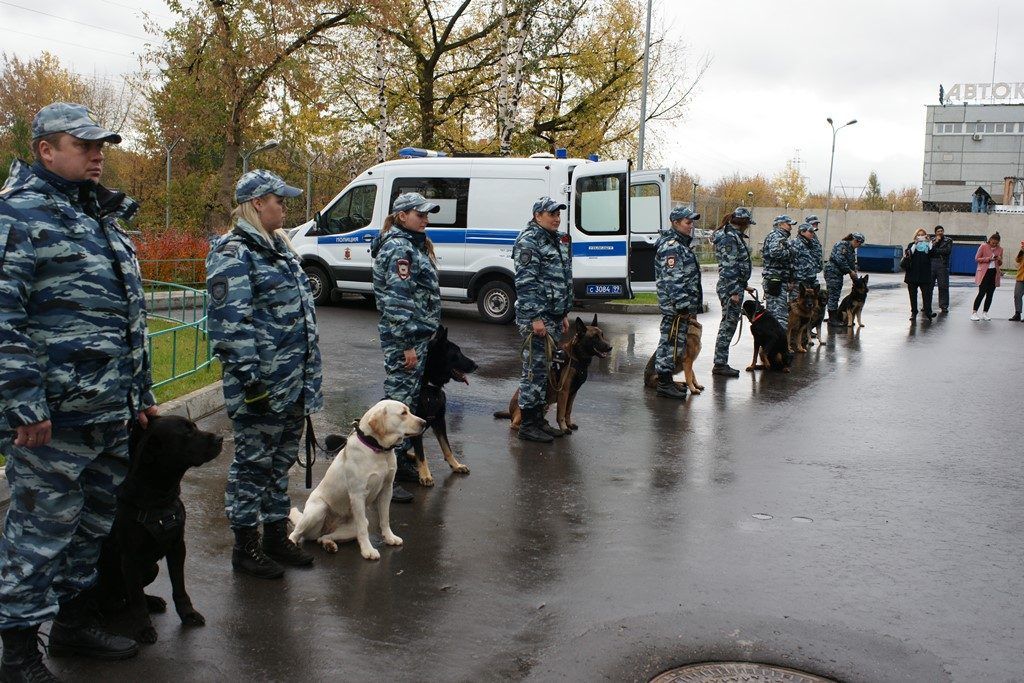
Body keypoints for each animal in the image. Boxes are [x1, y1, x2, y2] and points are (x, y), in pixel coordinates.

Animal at [96, 413, 224, 643]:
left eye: (195, 426)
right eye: (187, 432)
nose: (220, 438)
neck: (159, 495)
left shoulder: (177, 546)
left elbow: (179, 586)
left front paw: (188, 613)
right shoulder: (129, 558)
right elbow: (137, 599)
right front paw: (144, 628)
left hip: (151, 568)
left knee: (128, 594)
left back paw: (152, 601)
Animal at [288, 401, 423, 561]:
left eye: (409, 410)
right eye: (403, 413)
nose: (424, 422)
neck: (378, 449)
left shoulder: (387, 490)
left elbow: (385, 518)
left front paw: (390, 537)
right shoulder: (358, 494)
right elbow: (363, 530)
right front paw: (368, 550)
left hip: (352, 524)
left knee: (323, 537)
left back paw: (329, 544)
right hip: (318, 509)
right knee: (296, 533)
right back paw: (292, 543)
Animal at [405, 325, 477, 485]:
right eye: (458, 353)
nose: (477, 365)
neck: (429, 386)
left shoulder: (439, 420)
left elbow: (447, 447)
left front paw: (455, 465)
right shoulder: (418, 423)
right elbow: (421, 454)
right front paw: (425, 475)